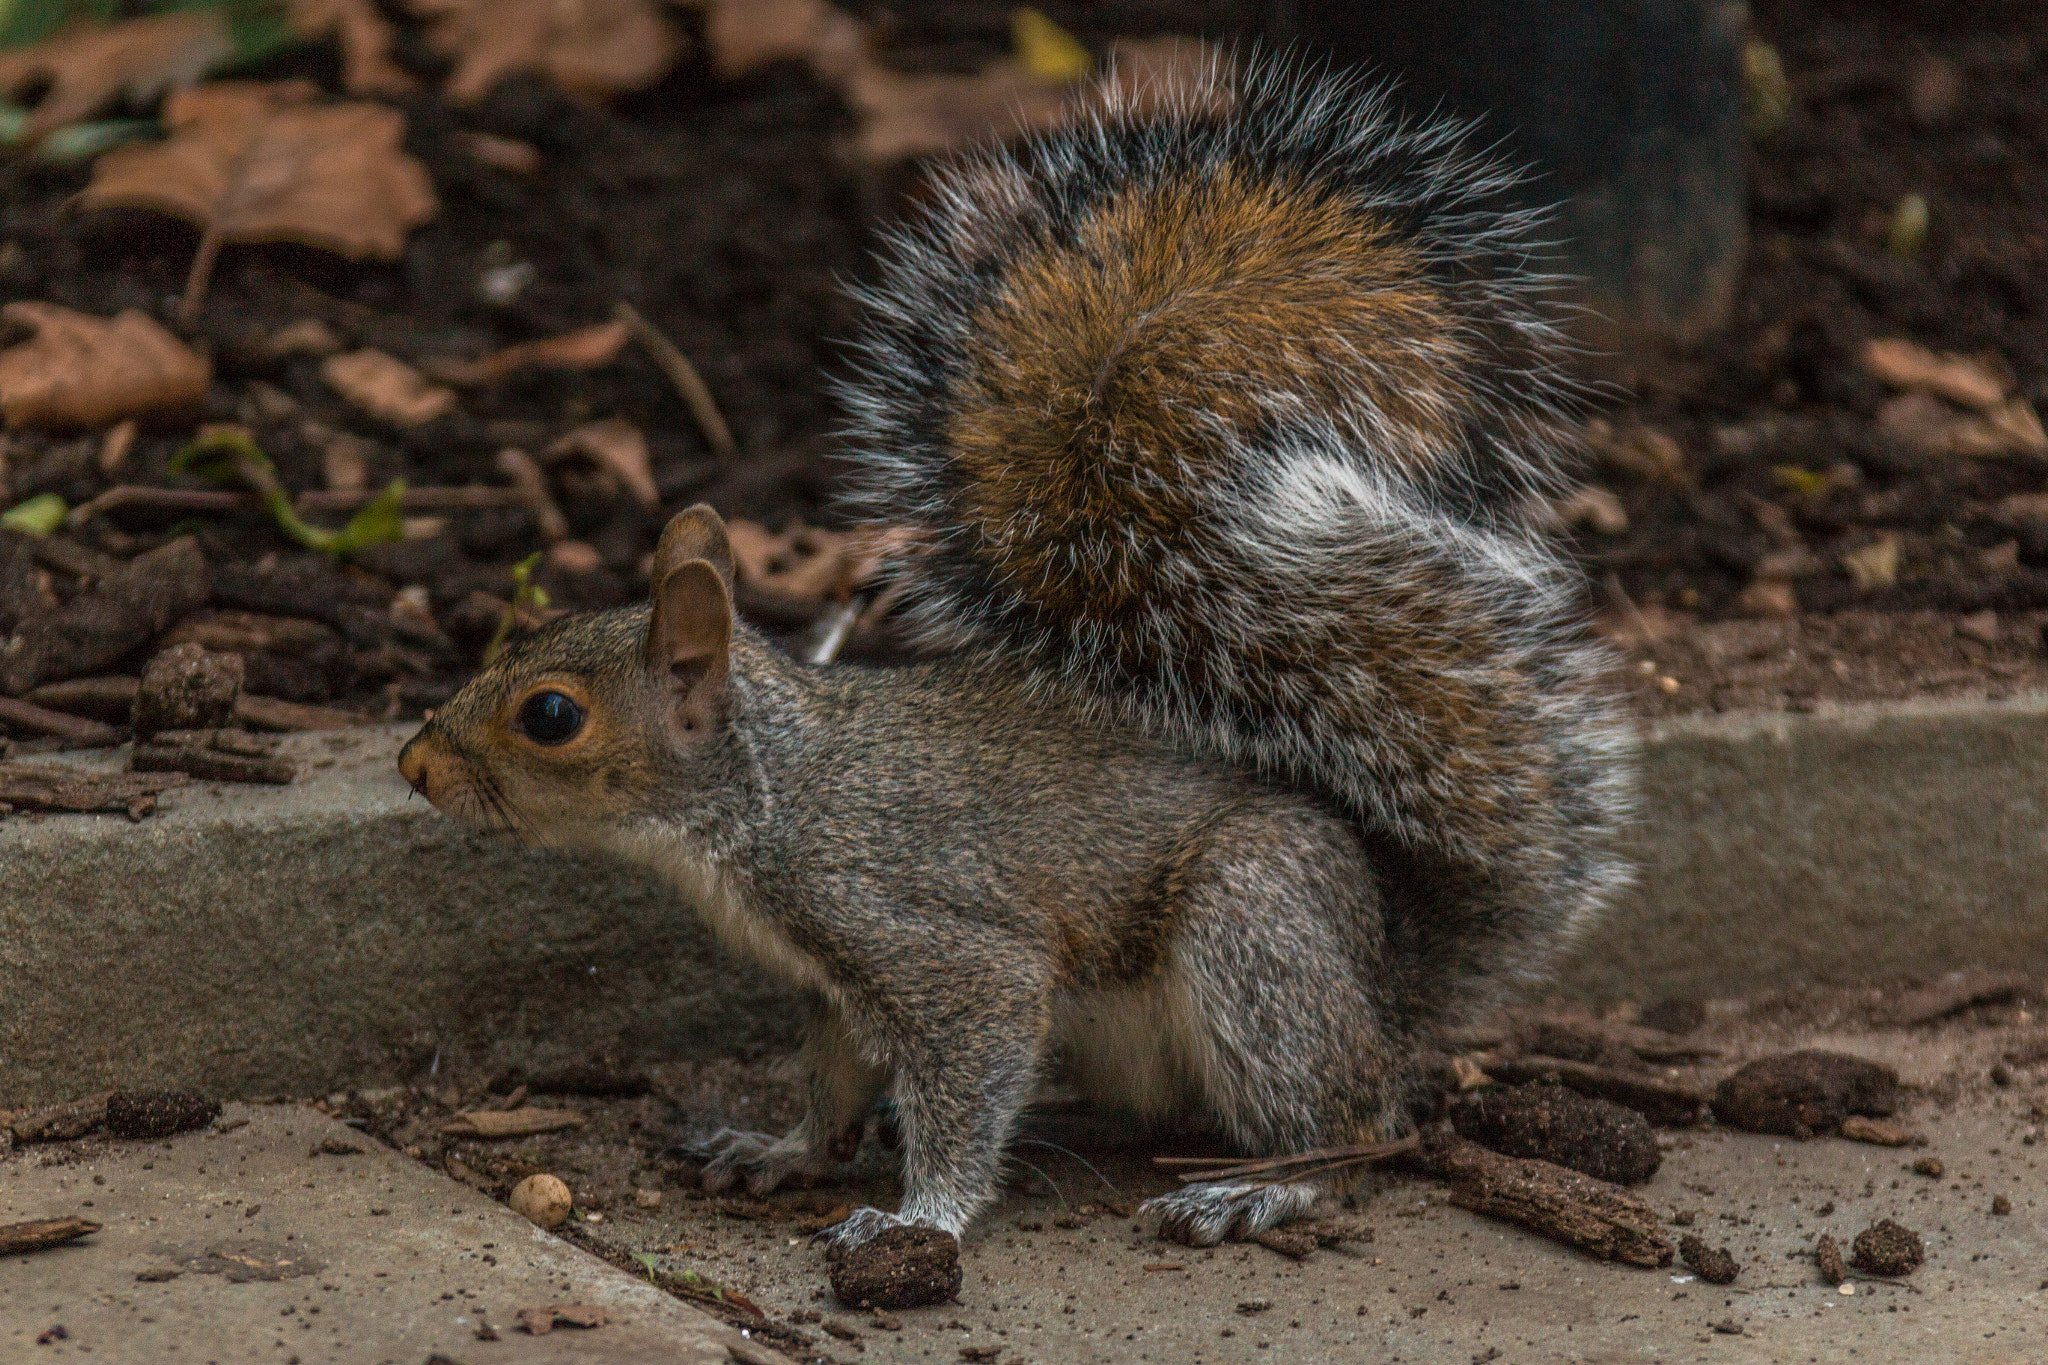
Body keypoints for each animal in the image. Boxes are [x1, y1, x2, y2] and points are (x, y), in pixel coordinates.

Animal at [398, 54, 1633, 1251]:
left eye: (550, 714)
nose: (413, 765)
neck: (771, 791)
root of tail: (1389, 976)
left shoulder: (918, 931)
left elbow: (971, 1059)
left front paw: (919, 1217)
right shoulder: (834, 986)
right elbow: (832, 1081)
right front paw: (782, 1149)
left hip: (1256, 926)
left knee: (1350, 1124)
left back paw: (1256, 1191)